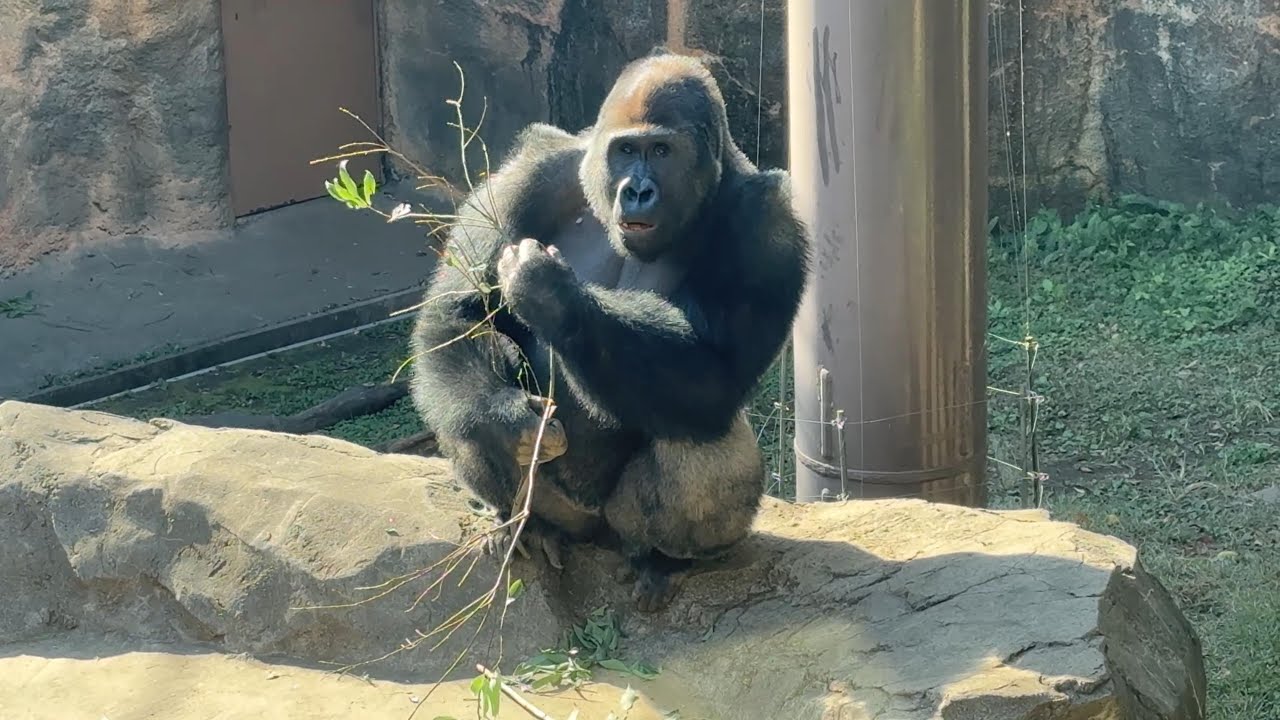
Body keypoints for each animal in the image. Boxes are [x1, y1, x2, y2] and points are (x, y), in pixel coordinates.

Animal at [408, 47, 811, 612]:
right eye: (625, 151)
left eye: (661, 151)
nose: (637, 190)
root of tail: (588, 533)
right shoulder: (533, 168)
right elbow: (460, 316)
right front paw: (502, 416)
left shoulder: (769, 221)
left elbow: (717, 374)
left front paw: (555, 296)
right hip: (551, 505)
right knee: (463, 403)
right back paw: (521, 524)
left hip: (619, 528)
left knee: (703, 443)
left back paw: (664, 560)